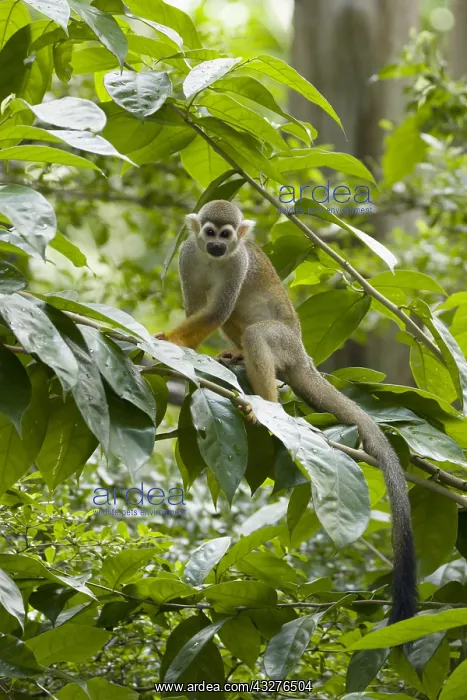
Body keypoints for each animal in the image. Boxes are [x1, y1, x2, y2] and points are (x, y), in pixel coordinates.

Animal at [157, 199, 417, 624]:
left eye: (225, 236)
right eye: (209, 233)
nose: (217, 246)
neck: (214, 261)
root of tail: (302, 355)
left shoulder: (238, 263)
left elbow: (214, 312)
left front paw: (169, 340)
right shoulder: (188, 256)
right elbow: (200, 309)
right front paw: (182, 346)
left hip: (285, 344)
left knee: (257, 332)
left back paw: (266, 403)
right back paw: (241, 360)